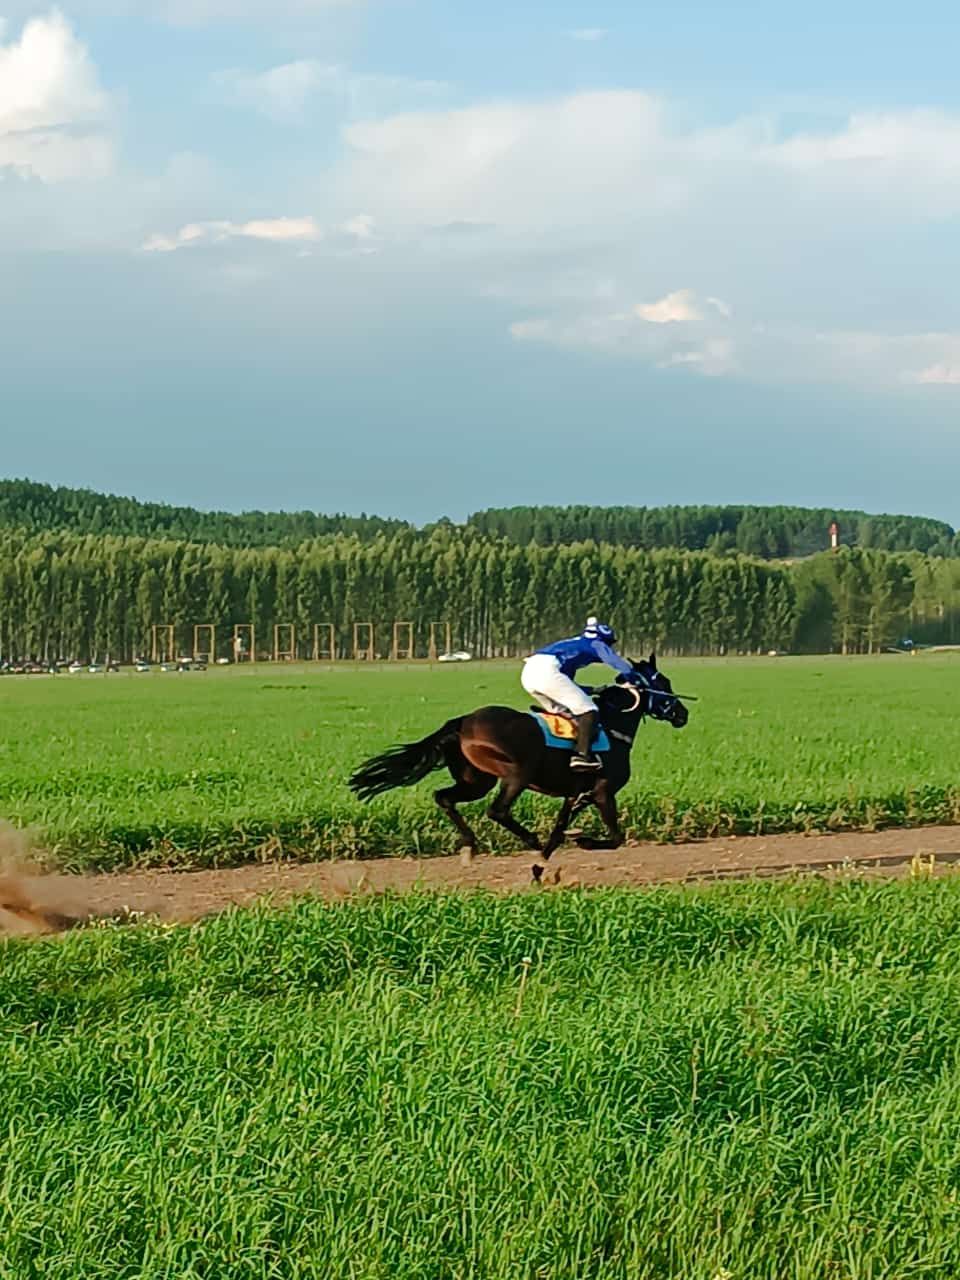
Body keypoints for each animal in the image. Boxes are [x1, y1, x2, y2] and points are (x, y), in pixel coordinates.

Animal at [350, 655, 686, 875]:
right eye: (664, 682)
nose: (682, 713)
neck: (613, 728)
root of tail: (463, 722)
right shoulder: (603, 792)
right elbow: (616, 838)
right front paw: (584, 842)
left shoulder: (575, 796)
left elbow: (558, 832)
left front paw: (540, 868)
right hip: (516, 773)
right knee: (497, 810)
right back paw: (527, 840)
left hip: (476, 781)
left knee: (444, 797)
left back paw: (470, 846)